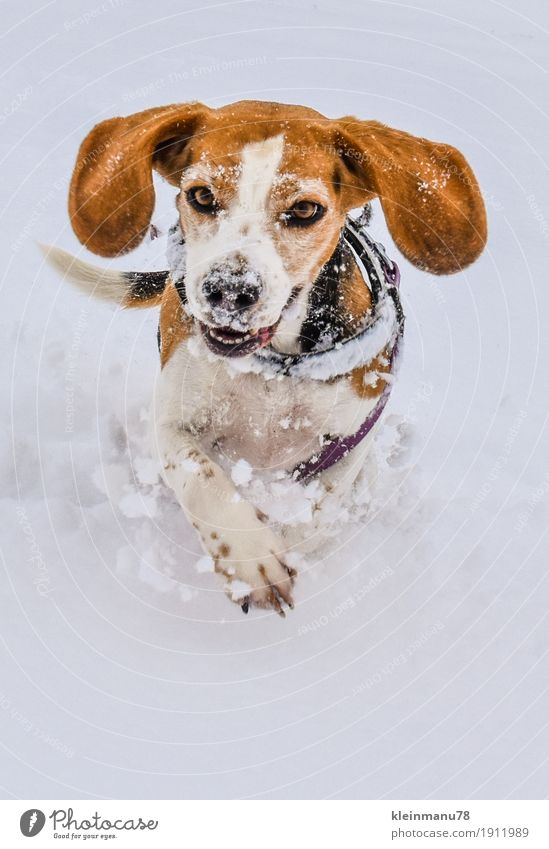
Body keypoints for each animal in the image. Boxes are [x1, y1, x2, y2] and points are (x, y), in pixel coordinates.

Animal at [45, 99, 486, 616]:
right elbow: (204, 482)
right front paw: (251, 557)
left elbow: (316, 513)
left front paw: (286, 542)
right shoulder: (174, 423)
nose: (229, 291)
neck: (275, 368)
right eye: (200, 196)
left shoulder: (350, 437)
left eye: (305, 209)